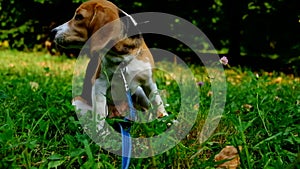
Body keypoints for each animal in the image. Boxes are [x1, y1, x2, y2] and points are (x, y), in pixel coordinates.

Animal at [51, 0, 169, 132]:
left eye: (79, 17)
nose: (52, 31)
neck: (123, 58)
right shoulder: (99, 84)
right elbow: (100, 115)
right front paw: (100, 133)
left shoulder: (149, 81)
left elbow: (158, 103)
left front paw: (166, 120)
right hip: (77, 101)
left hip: (140, 92)